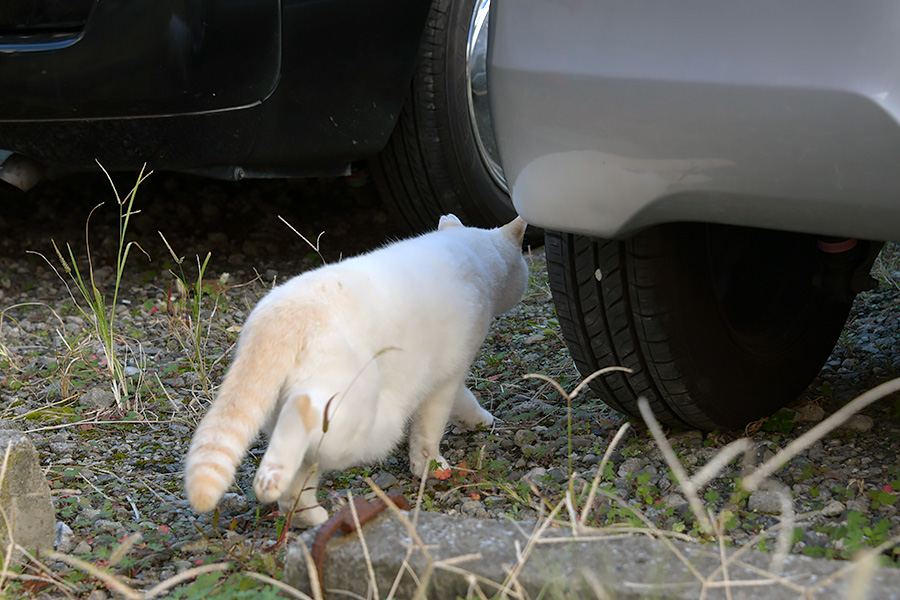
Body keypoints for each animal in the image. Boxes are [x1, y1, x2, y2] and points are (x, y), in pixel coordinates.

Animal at [186, 216, 532, 524]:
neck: (470, 252)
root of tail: (282, 316)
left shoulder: (443, 375)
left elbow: (464, 400)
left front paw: (477, 420)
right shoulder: (446, 378)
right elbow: (430, 430)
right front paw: (432, 465)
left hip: (312, 439)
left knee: (294, 491)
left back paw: (301, 508)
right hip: (367, 425)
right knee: (304, 411)